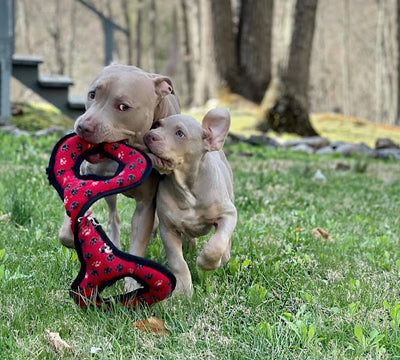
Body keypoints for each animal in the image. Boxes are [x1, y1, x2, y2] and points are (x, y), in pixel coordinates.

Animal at [58, 64, 180, 270]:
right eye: (92, 94)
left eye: (123, 107)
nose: (83, 126)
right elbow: (66, 232)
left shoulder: (145, 205)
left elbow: (138, 244)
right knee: (113, 217)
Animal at [145, 108, 236, 294]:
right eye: (157, 125)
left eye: (180, 133)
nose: (149, 135)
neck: (186, 187)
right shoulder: (168, 228)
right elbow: (177, 262)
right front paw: (183, 291)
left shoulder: (228, 214)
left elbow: (217, 243)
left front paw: (206, 263)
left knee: (226, 240)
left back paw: (224, 258)